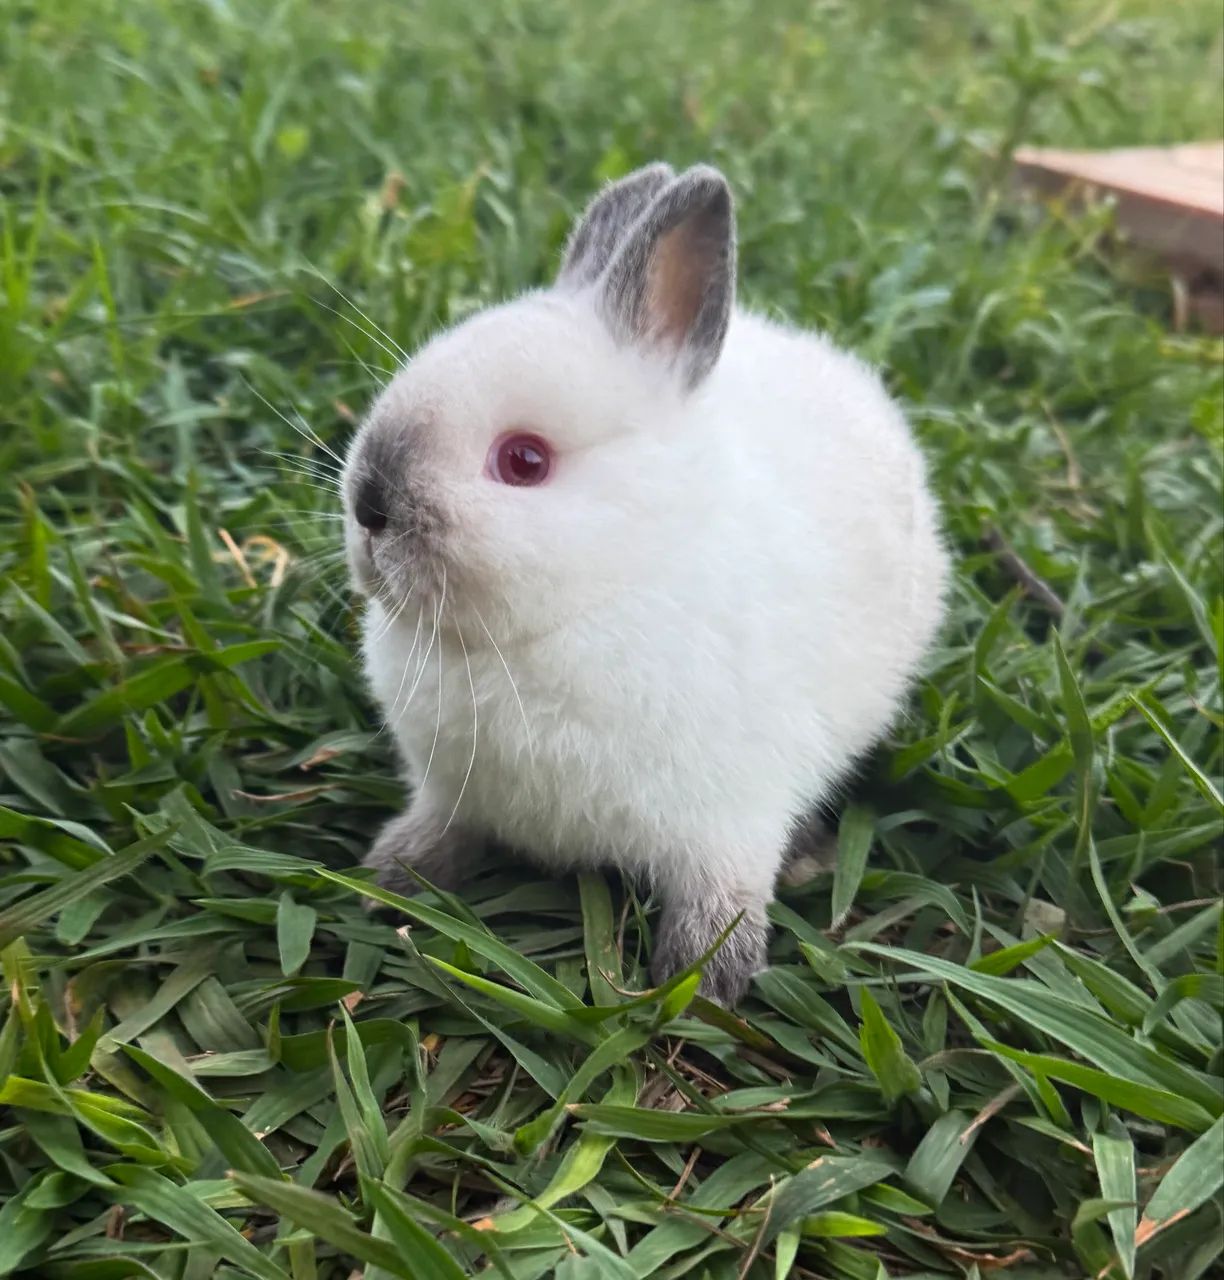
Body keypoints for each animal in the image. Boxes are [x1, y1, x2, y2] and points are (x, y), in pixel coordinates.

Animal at [340, 162, 948, 1005]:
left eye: (524, 461)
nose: (369, 506)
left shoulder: (730, 819)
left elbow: (722, 896)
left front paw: (703, 981)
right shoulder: (449, 787)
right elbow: (443, 826)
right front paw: (393, 873)